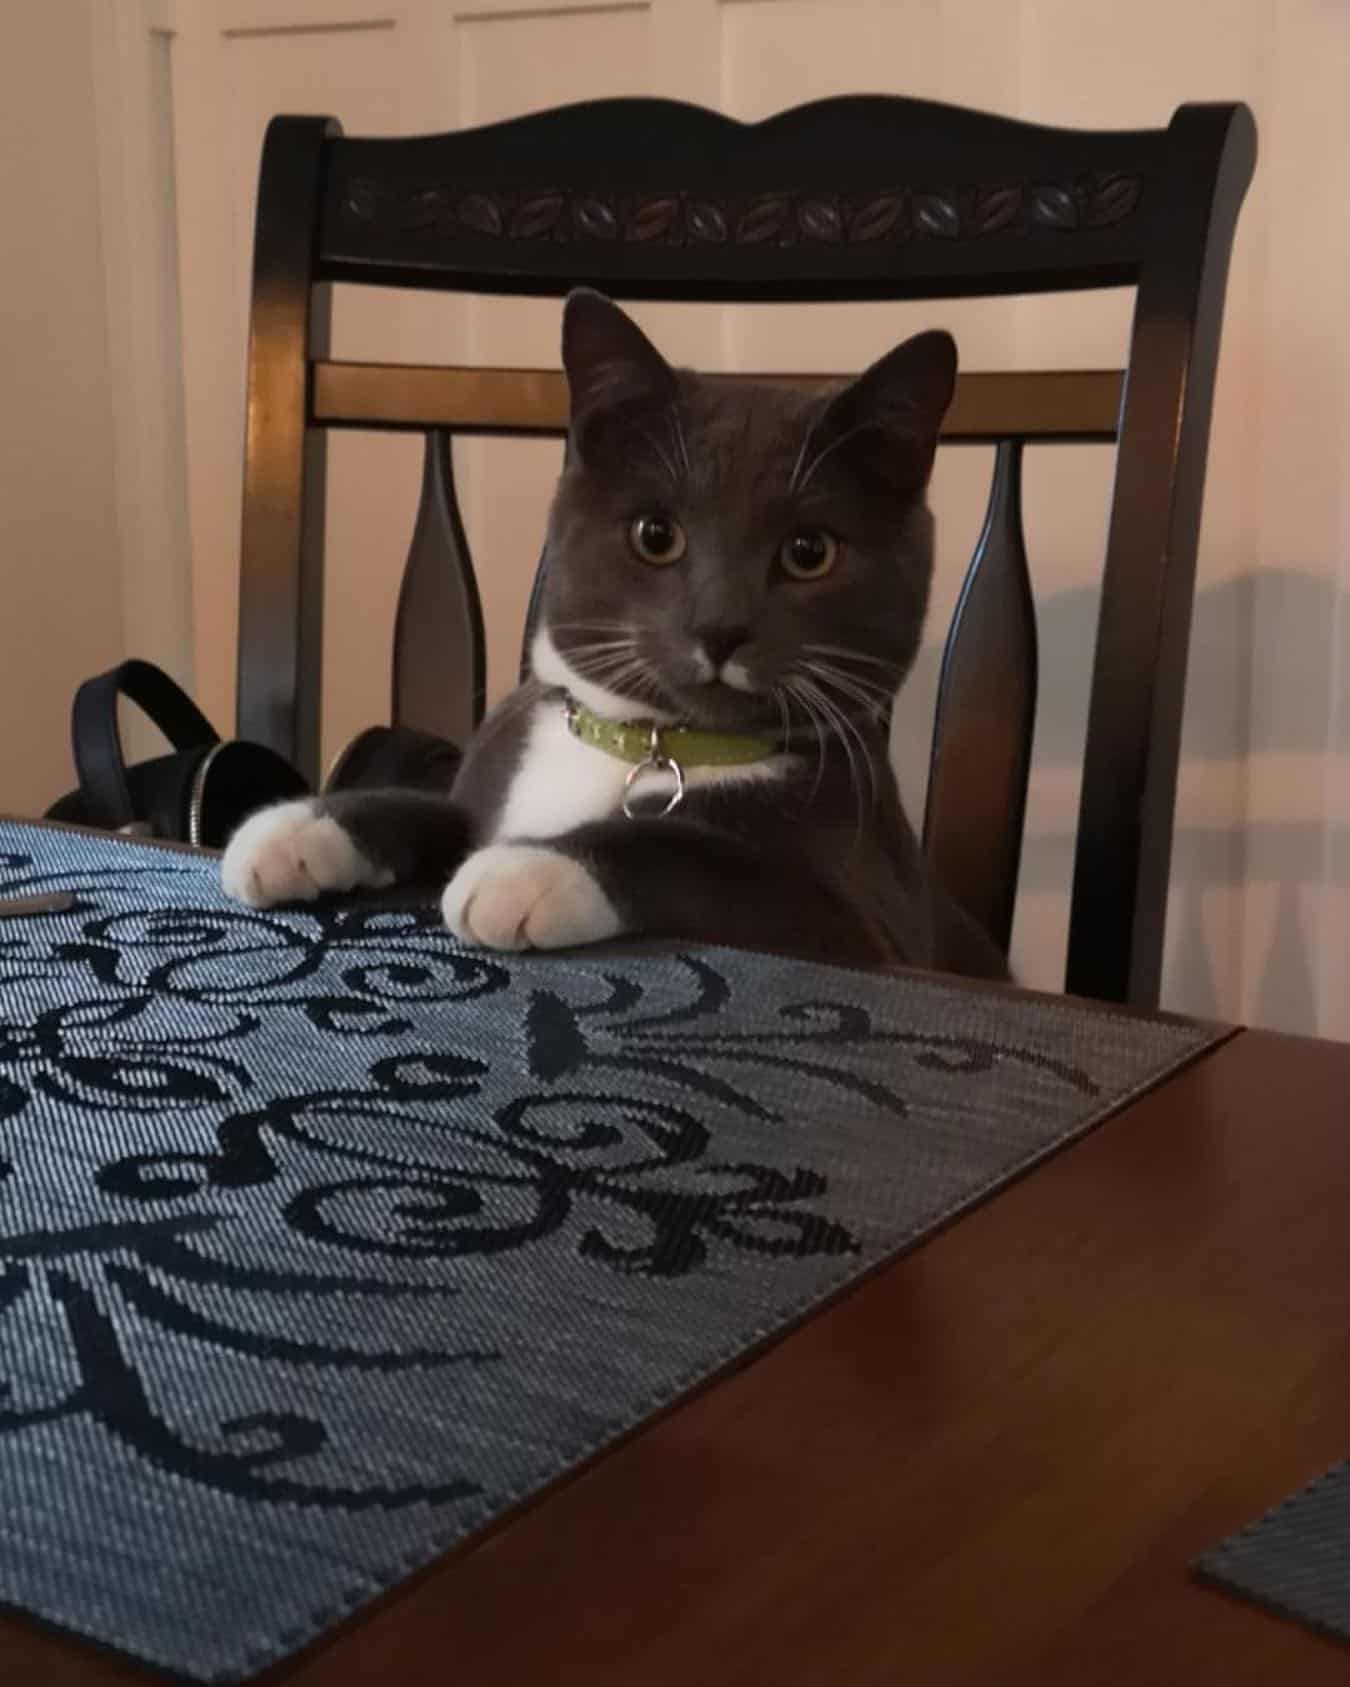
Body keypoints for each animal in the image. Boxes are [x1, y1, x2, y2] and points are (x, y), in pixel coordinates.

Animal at [219, 288, 999, 978]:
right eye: (656, 535)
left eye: (810, 551)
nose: (720, 625)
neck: (651, 742)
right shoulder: (489, 785)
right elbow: (438, 809)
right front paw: (296, 828)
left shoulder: (871, 918)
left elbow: (702, 855)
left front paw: (528, 866)